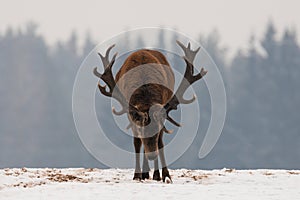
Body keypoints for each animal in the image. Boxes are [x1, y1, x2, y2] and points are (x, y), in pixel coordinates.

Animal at [93, 41, 206, 183]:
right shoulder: (131, 115)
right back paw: (145, 173)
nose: (152, 155)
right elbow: (137, 143)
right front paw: (137, 175)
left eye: (156, 133)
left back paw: (156, 174)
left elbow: (160, 143)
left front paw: (163, 175)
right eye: (142, 132)